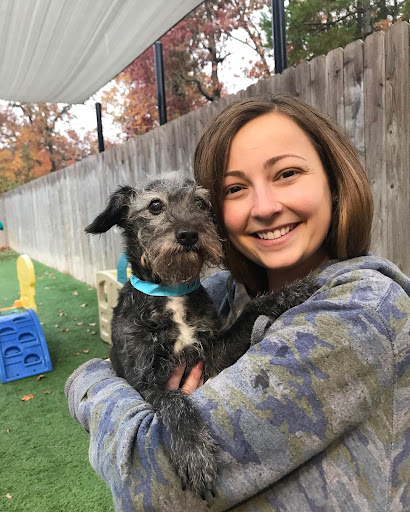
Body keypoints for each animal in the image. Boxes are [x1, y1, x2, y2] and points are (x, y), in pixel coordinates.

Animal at [85, 172, 318, 500]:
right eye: (155, 205)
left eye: (200, 203)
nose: (189, 234)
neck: (171, 292)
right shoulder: (145, 383)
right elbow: (175, 401)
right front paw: (194, 452)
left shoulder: (212, 353)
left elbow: (249, 311)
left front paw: (291, 291)